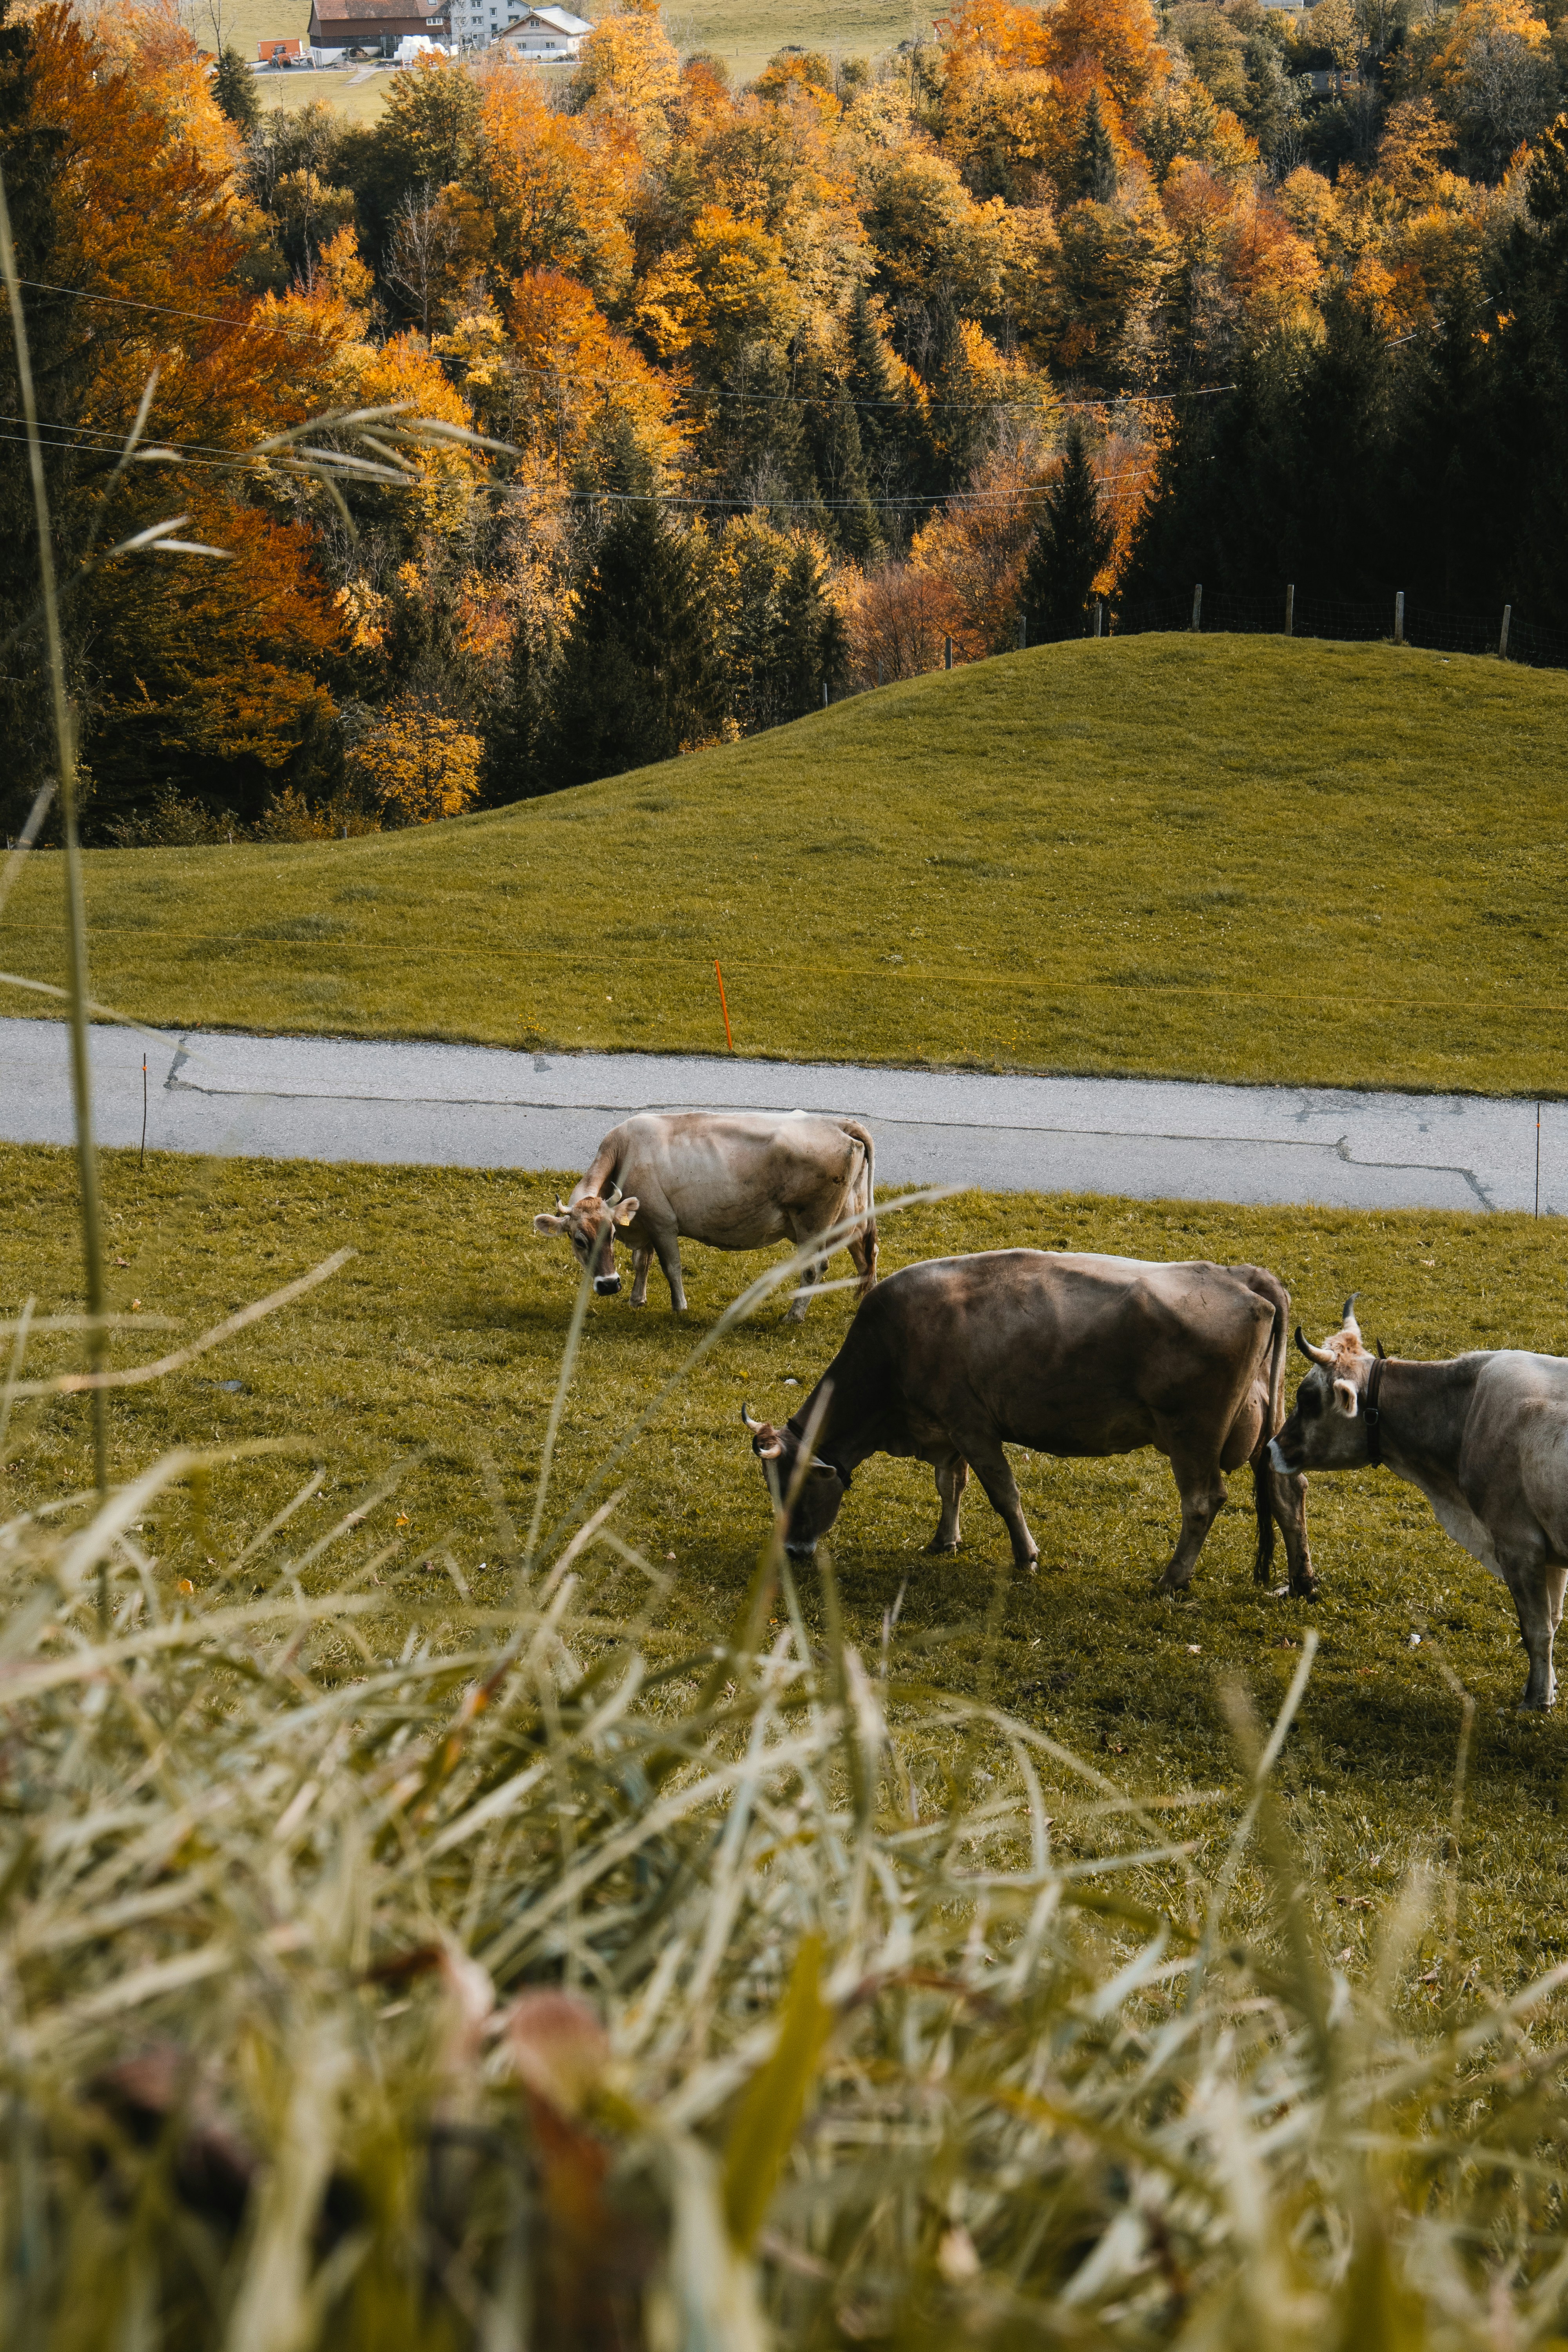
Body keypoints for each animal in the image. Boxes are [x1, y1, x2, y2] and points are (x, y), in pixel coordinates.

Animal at [532, 1111, 878, 1320]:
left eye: (612, 1234)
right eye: (579, 1241)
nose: (609, 1285)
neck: (624, 1152)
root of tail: (838, 1123)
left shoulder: (662, 1222)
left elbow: (671, 1267)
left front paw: (679, 1308)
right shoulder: (644, 1220)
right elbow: (642, 1261)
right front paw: (636, 1299)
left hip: (813, 1223)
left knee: (815, 1268)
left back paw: (793, 1316)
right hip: (853, 1215)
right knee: (867, 1255)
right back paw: (868, 1303)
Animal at [742, 1249, 1314, 1593]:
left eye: (796, 1489)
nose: (792, 1551)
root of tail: (1241, 1276)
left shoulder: (971, 1424)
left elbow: (1001, 1492)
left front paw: (1025, 1555)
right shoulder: (946, 1428)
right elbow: (949, 1484)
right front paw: (945, 1539)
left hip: (1190, 1432)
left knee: (1202, 1501)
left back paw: (1172, 1579)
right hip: (1268, 1431)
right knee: (1288, 1493)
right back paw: (1302, 1581)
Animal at [1270, 1297, 1568, 1709]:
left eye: (1308, 1397)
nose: (1272, 1447)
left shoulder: (1518, 1543)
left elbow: (1536, 1629)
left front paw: (1536, 1701)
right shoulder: (1549, 1550)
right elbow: (1553, 1621)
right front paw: (1546, 1689)